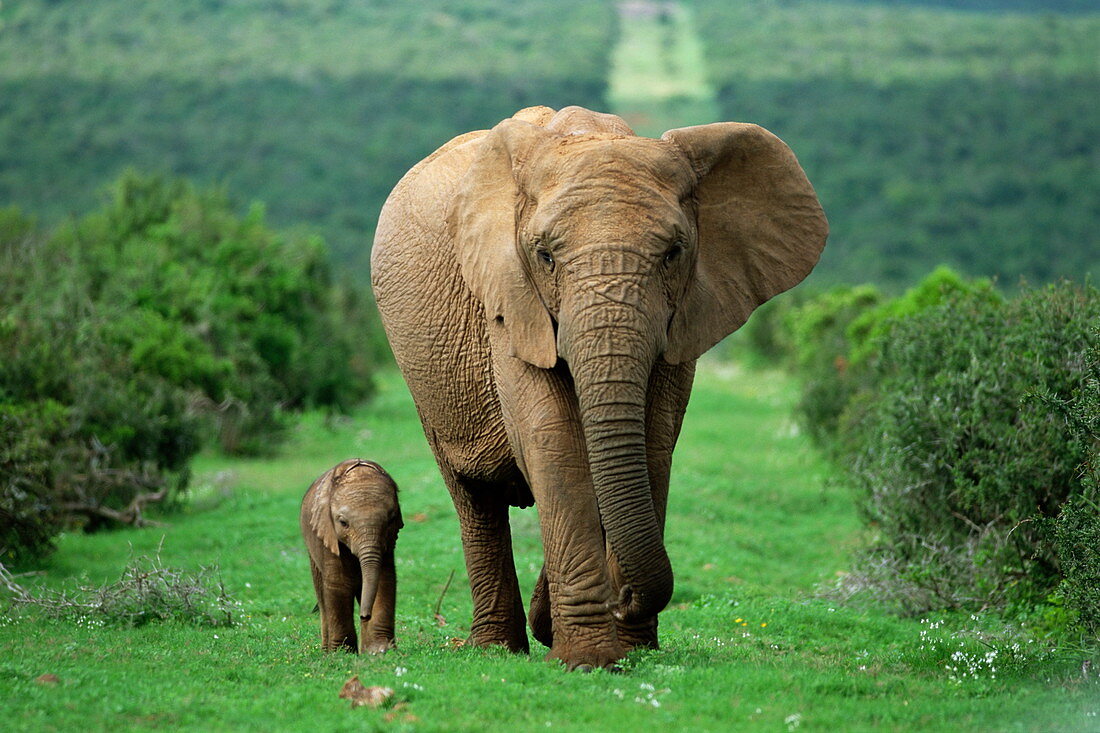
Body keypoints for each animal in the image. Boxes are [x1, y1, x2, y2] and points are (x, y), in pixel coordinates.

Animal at [301, 457, 404, 651]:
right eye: (343, 523)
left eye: (391, 519)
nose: (365, 616)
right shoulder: (327, 535)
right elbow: (338, 583)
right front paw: (342, 653)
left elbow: (384, 579)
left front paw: (380, 651)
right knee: (322, 596)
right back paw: (326, 651)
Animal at [369, 104, 827, 669]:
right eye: (544, 256)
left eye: (674, 253)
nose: (624, 596)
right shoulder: (510, 299)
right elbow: (552, 439)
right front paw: (585, 660)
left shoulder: (685, 314)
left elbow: (653, 441)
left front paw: (632, 651)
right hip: (425, 380)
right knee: (474, 496)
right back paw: (497, 648)